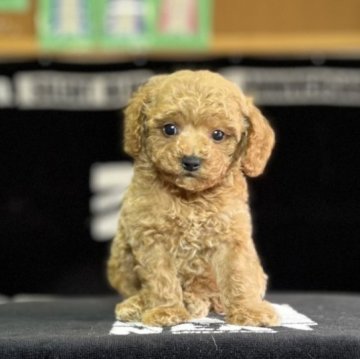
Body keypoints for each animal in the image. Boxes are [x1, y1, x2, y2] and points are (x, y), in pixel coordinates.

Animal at [107, 69, 278, 328]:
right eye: (169, 129)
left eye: (218, 135)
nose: (190, 161)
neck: (190, 198)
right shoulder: (151, 238)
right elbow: (160, 277)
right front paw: (166, 310)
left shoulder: (231, 235)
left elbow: (238, 274)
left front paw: (248, 310)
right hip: (120, 257)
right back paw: (139, 303)